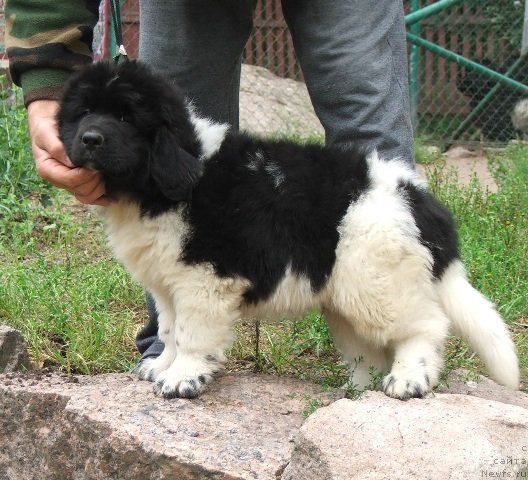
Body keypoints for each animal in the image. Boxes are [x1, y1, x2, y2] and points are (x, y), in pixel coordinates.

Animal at [56, 62, 520, 400]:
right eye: (83, 113)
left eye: (125, 116)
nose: (90, 138)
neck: (163, 180)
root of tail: (420, 200)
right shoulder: (168, 283)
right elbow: (170, 329)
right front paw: (162, 366)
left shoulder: (205, 277)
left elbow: (192, 333)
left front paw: (183, 377)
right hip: (348, 293)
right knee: (370, 348)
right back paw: (354, 392)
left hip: (377, 278)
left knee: (424, 326)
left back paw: (408, 379)